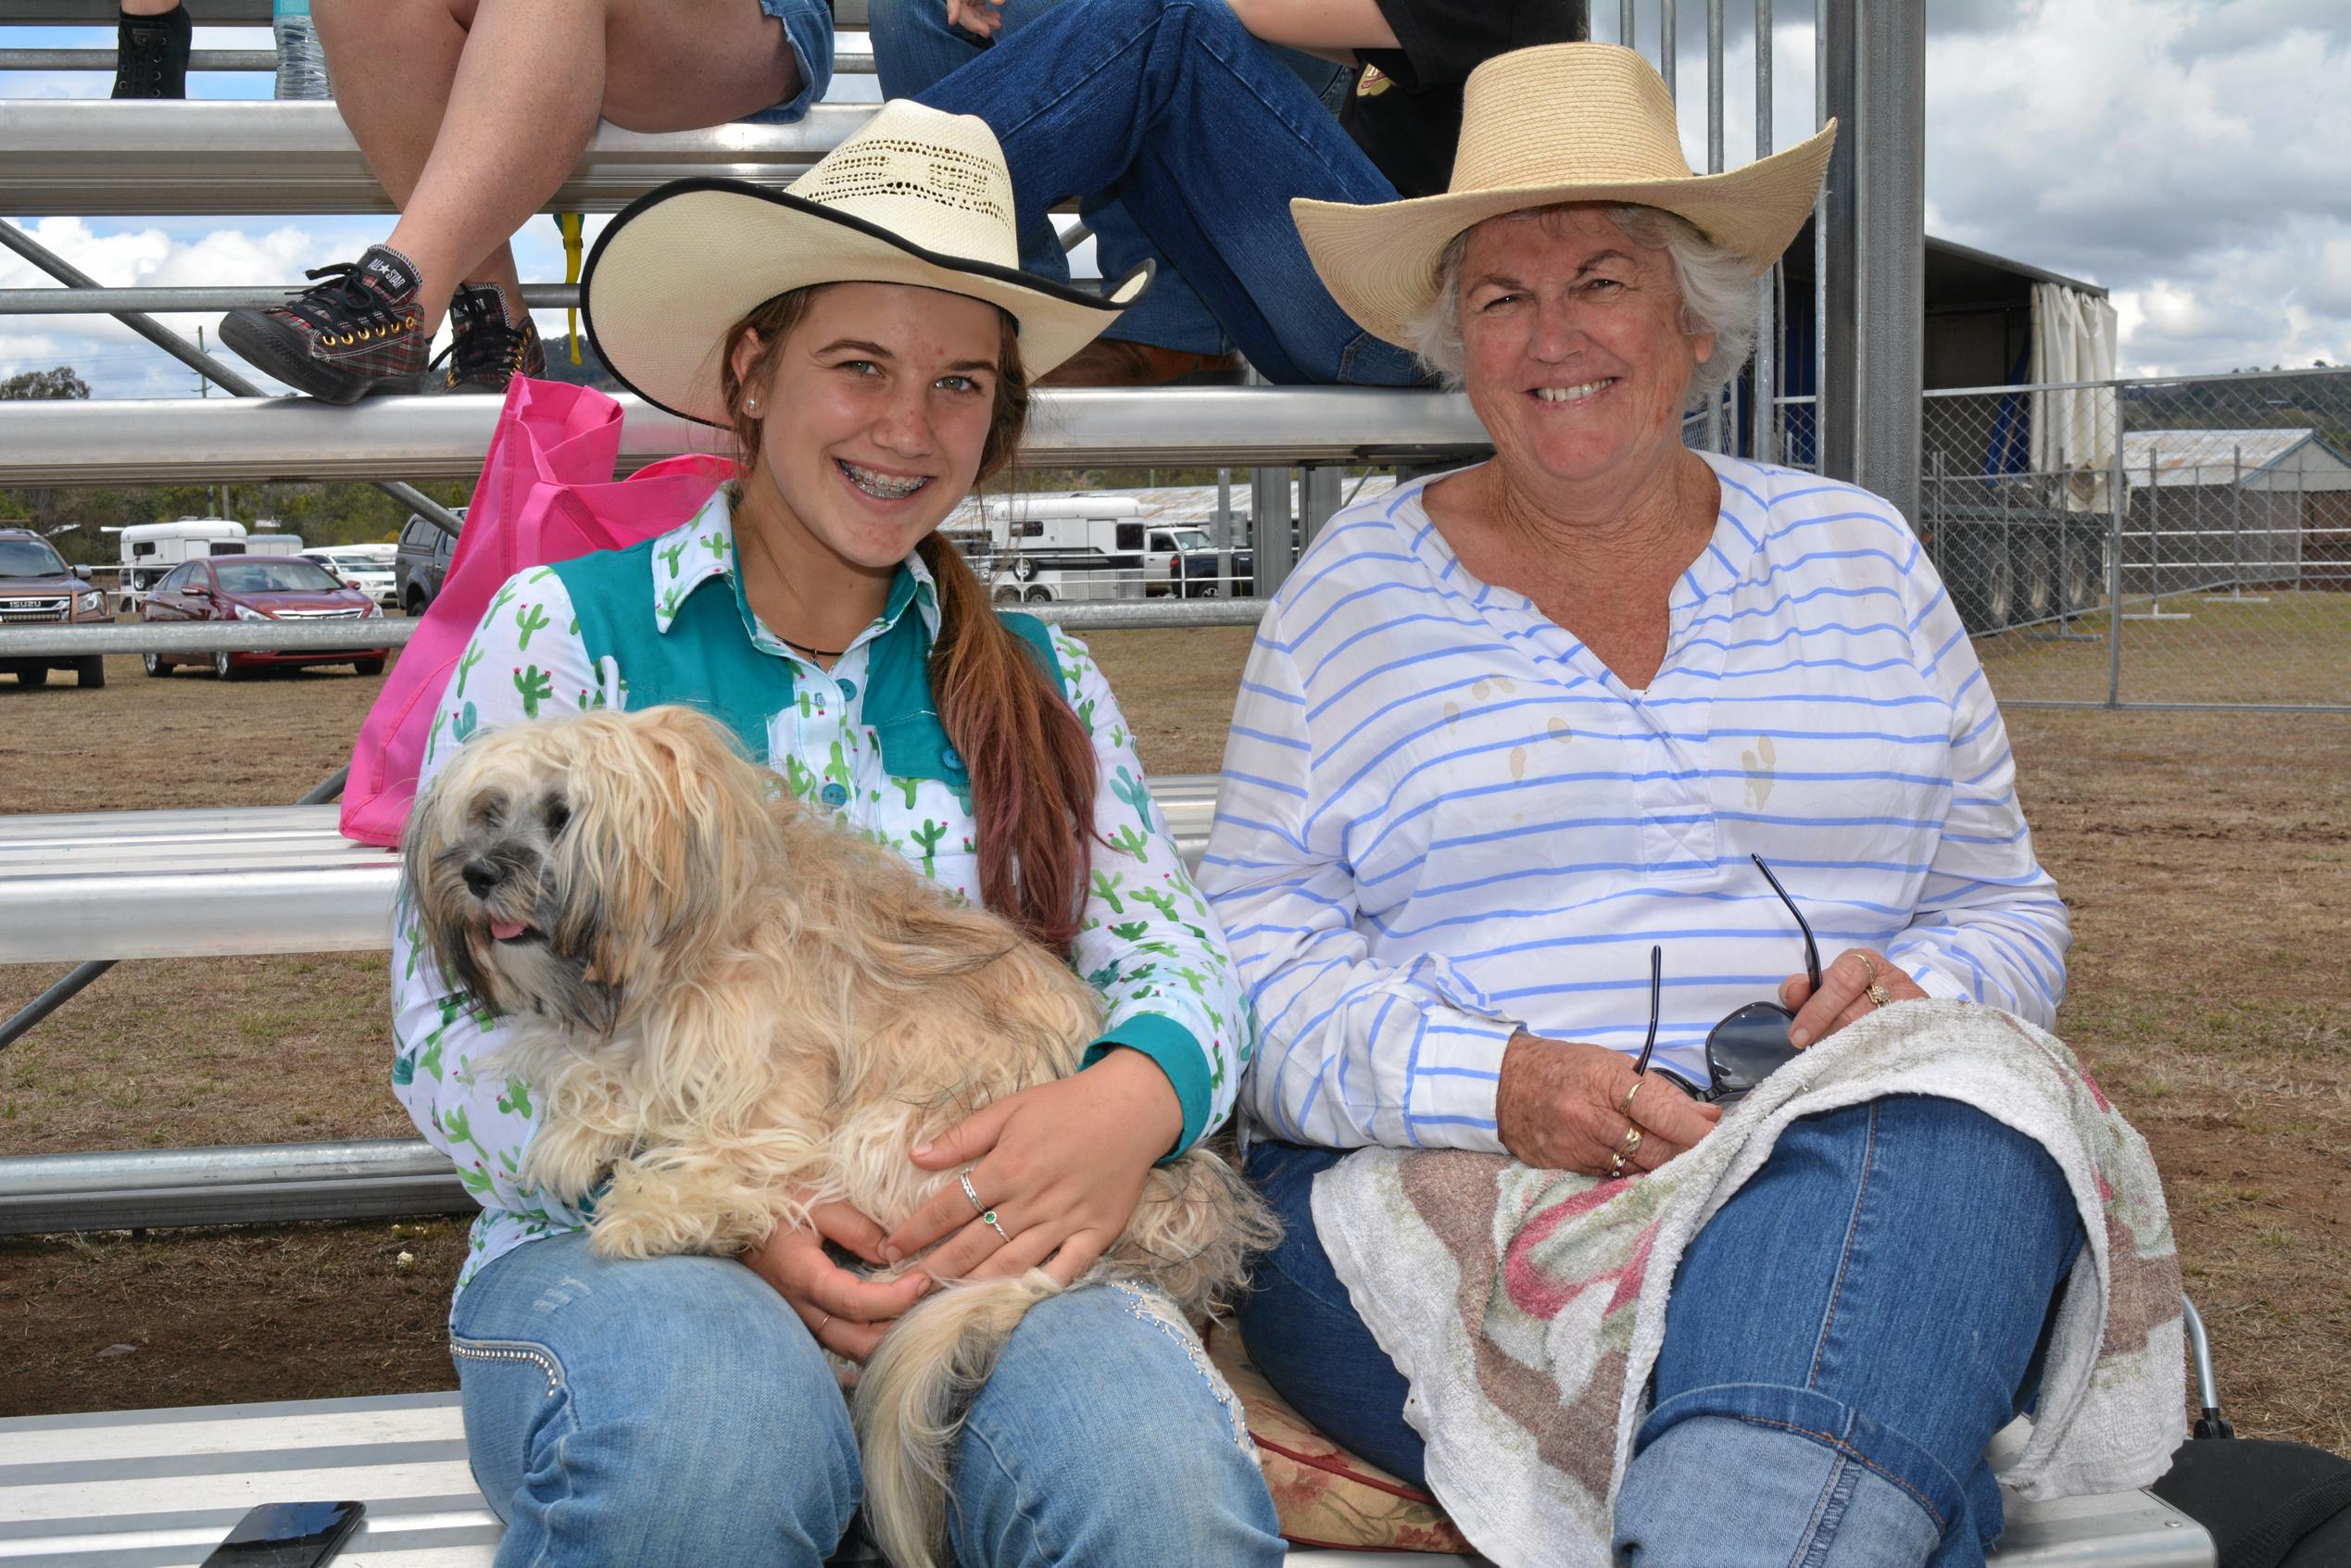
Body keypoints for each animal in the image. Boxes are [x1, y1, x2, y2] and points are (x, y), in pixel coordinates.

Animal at [413, 705, 1278, 1561]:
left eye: (562, 814)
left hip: (899, 1127)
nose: (477, 873)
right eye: (488, 811)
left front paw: (658, 1206)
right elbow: (617, 1075)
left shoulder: (780, 1076)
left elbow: (737, 1146)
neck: (690, 940)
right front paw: (587, 1129)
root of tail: (1167, 1207)